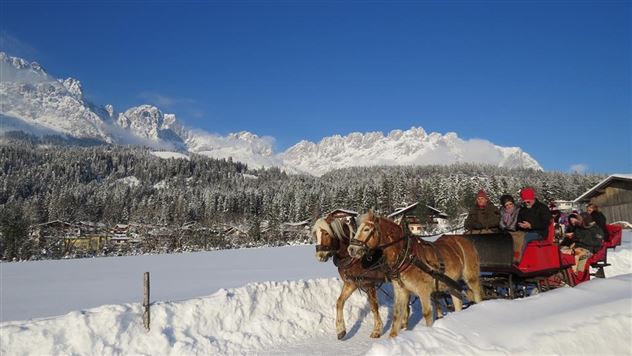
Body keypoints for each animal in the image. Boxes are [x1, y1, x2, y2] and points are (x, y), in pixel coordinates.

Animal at [348, 211, 482, 336]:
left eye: (366, 229)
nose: (351, 249)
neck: (407, 256)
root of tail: (464, 240)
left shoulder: (424, 291)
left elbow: (427, 314)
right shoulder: (401, 291)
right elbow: (397, 316)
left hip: (471, 277)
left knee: (476, 295)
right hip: (450, 284)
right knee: (458, 300)